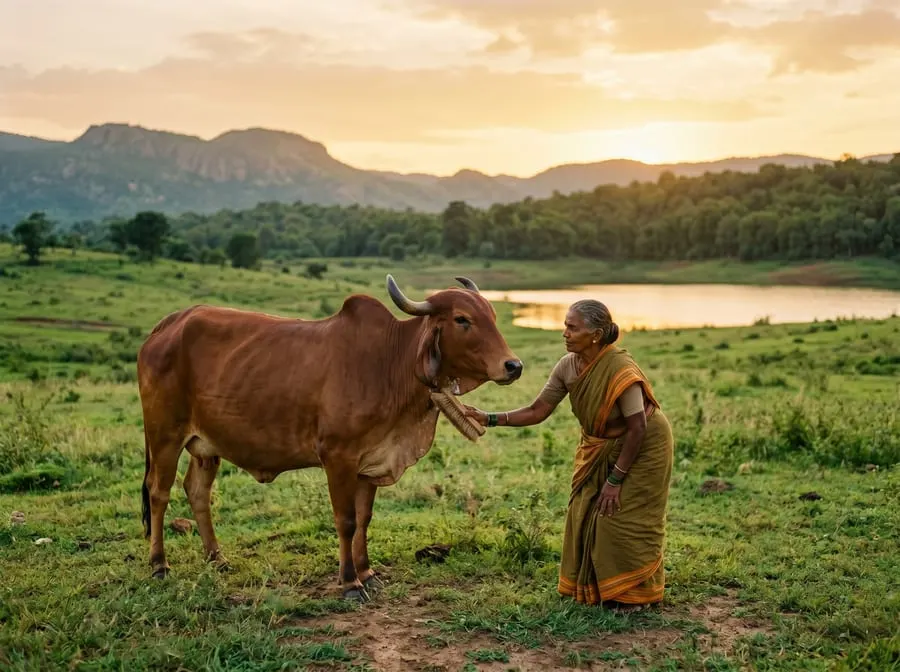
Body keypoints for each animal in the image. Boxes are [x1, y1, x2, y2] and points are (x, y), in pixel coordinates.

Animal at [137, 274, 523, 601]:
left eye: (492, 314)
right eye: (462, 319)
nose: (513, 366)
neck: (390, 363)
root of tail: (168, 325)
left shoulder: (371, 462)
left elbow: (364, 519)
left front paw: (368, 573)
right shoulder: (338, 458)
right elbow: (346, 520)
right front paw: (350, 582)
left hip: (206, 446)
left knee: (197, 491)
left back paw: (217, 558)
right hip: (164, 435)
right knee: (158, 493)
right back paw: (159, 565)